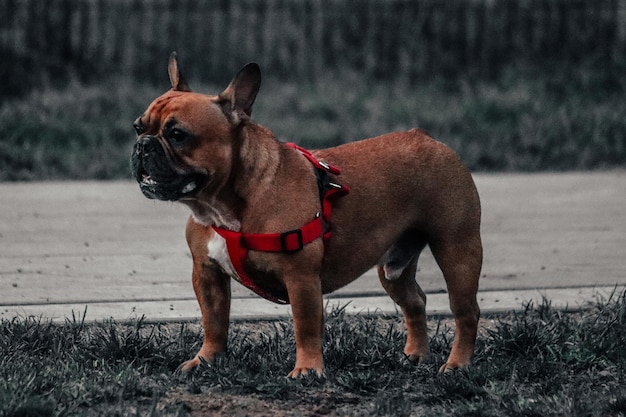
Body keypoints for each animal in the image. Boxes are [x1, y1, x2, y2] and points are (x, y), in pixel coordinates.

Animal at [130, 52, 482, 376]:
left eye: (178, 135)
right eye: (137, 127)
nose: (142, 146)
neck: (221, 207)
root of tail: (427, 138)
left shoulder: (300, 278)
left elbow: (306, 325)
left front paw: (308, 369)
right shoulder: (207, 273)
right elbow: (214, 321)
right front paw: (206, 360)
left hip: (457, 250)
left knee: (465, 312)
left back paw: (457, 364)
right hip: (393, 266)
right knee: (415, 301)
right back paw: (416, 355)